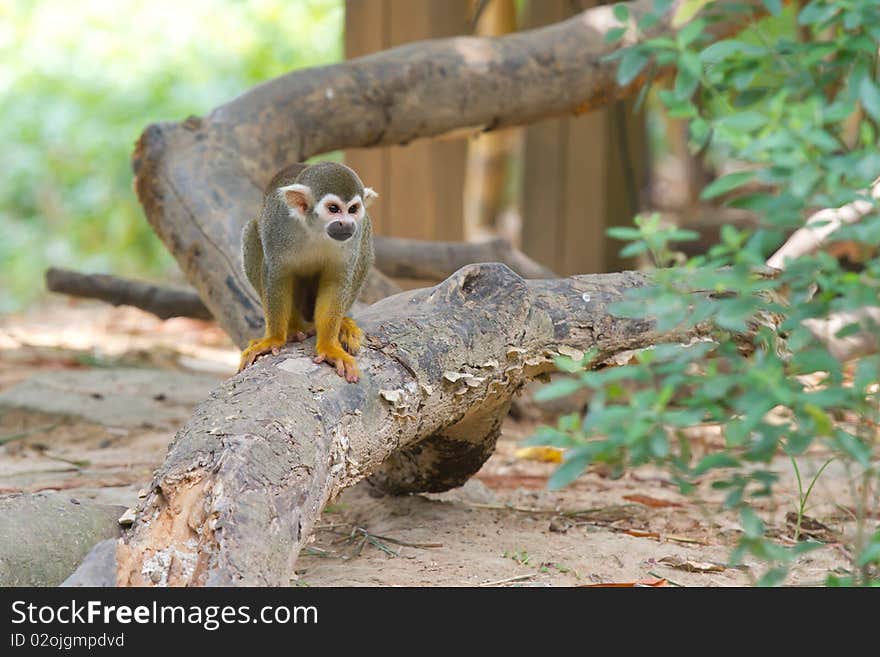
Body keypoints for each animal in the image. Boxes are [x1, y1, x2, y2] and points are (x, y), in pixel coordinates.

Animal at [239, 161, 376, 382]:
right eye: (333, 208)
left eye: (353, 209)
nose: (347, 224)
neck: (315, 230)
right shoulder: (277, 226)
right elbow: (277, 274)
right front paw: (274, 338)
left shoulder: (354, 235)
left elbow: (337, 280)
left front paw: (329, 347)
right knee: (251, 231)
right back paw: (294, 328)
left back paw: (343, 323)